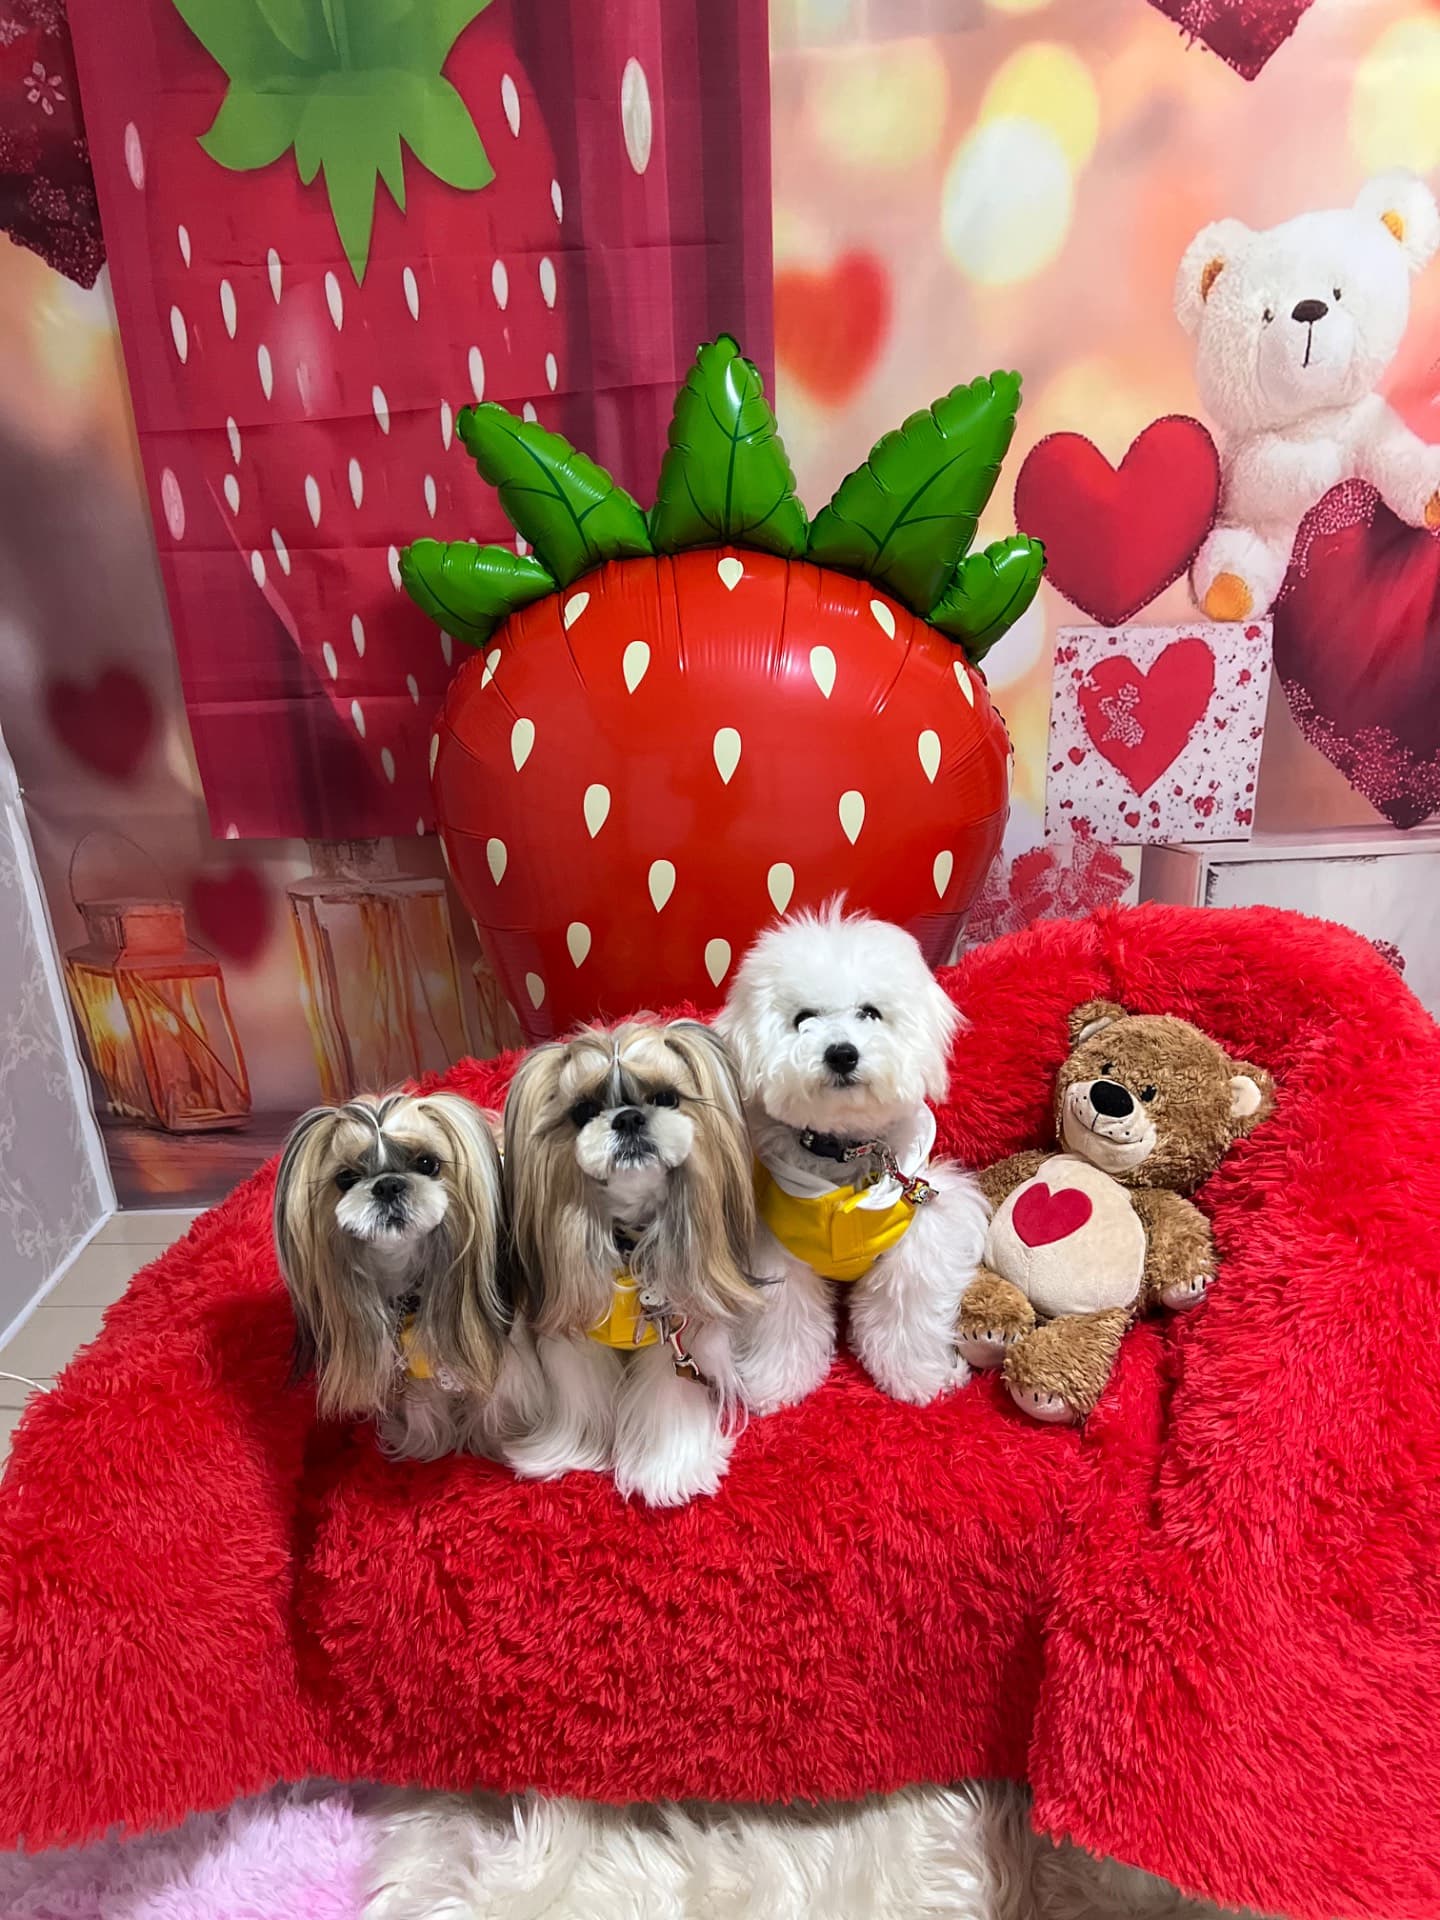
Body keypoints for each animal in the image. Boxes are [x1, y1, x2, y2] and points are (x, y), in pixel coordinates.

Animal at [273, 1091, 516, 1461]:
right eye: (345, 1178)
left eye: (428, 1163)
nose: (387, 1185)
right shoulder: (410, 1361)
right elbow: (424, 1406)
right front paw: (425, 1444)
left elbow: (491, 1401)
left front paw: (492, 1444)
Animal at [501, 1020, 759, 1507]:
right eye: (583, 1110)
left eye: (666, 1098)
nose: (628, 1118)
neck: (628, 1243)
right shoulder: (576, 1334)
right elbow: (582, 1393)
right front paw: (570, 1454)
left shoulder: (673, 1338)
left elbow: (666, 1398)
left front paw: (667, 1472)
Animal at [715, 905, 987, 1410]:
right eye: (803, 1018)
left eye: (870, 1013)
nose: (842, 1053)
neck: (844, 1151)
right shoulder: (774, 1251)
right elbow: (784, 1319)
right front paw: (778, 1385)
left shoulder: (917, 1232)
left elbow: (905, 1308)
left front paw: (918, 1378)